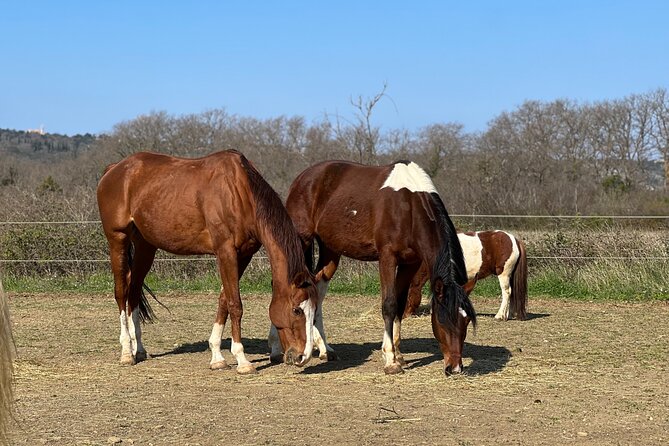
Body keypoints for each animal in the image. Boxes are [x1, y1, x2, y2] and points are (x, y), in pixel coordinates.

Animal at [97, 149, 321, 374]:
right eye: (296, 310)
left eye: (314, 309)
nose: (303, 356)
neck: (240, 194)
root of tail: (115, 169)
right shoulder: (225, 252)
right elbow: (235, 304)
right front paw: (242, 360)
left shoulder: (243, 255)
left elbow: (224, 301)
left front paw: (217, 357)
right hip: (118, 239)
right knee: (121, 292)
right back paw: (127, 352)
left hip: (145, 246)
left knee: (134, 290)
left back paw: (139, 349)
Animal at [273, 159, 476, 376]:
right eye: (442, 320)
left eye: (465, 321)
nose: (455, 368)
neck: (409, 207)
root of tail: (302, 178)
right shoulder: (387, 258)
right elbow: (389, 305)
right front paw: (390, 360)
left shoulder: (409, 263)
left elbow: (400, 304)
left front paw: (399, 354)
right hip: (300, 241)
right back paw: (278, 350)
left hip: (330, 252)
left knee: (317, 289)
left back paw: (325, 349)